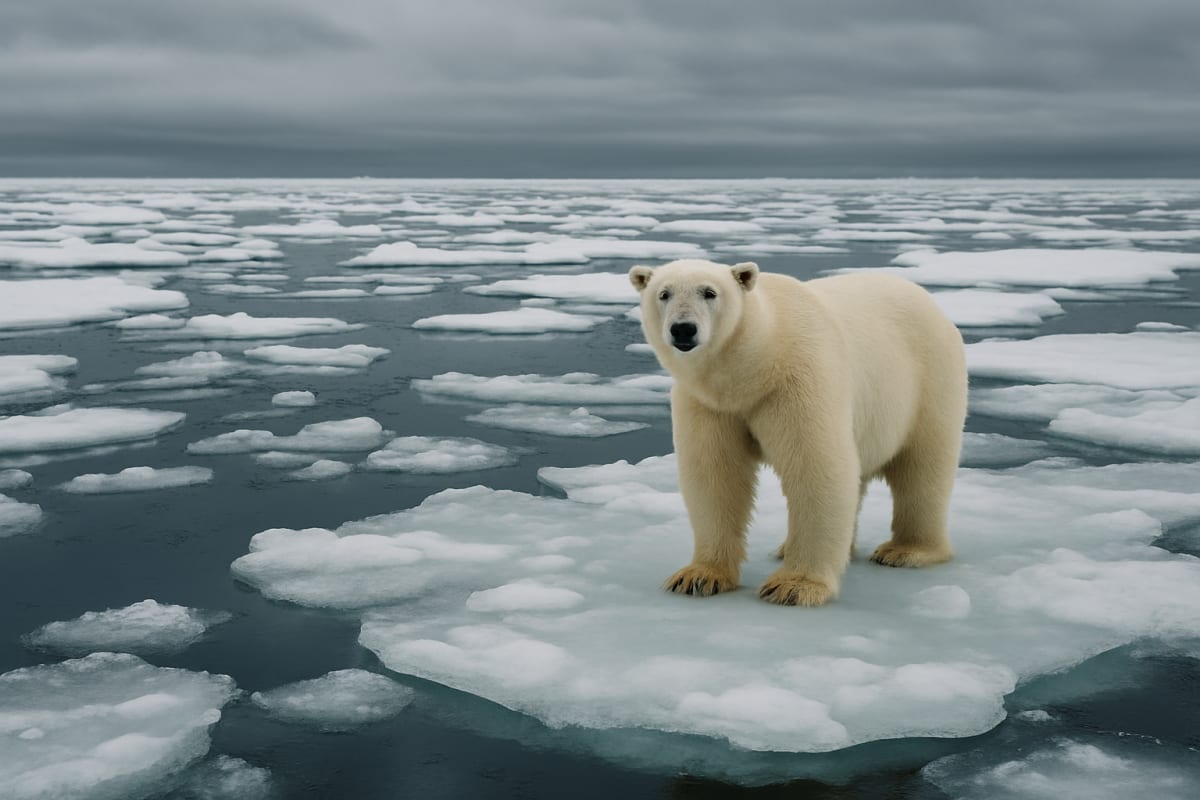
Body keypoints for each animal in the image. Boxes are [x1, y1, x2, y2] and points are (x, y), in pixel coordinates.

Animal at [629, 259, 967, 606]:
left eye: (709, 292)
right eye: (664, 293)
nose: (683, 328)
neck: (756, 364)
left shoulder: (798, 379)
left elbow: (816, 468)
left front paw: (794, 586)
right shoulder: (709, 403)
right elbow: (714, 476)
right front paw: (698, 576)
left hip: (929, 379)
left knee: (923, 468)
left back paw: (906, 550)